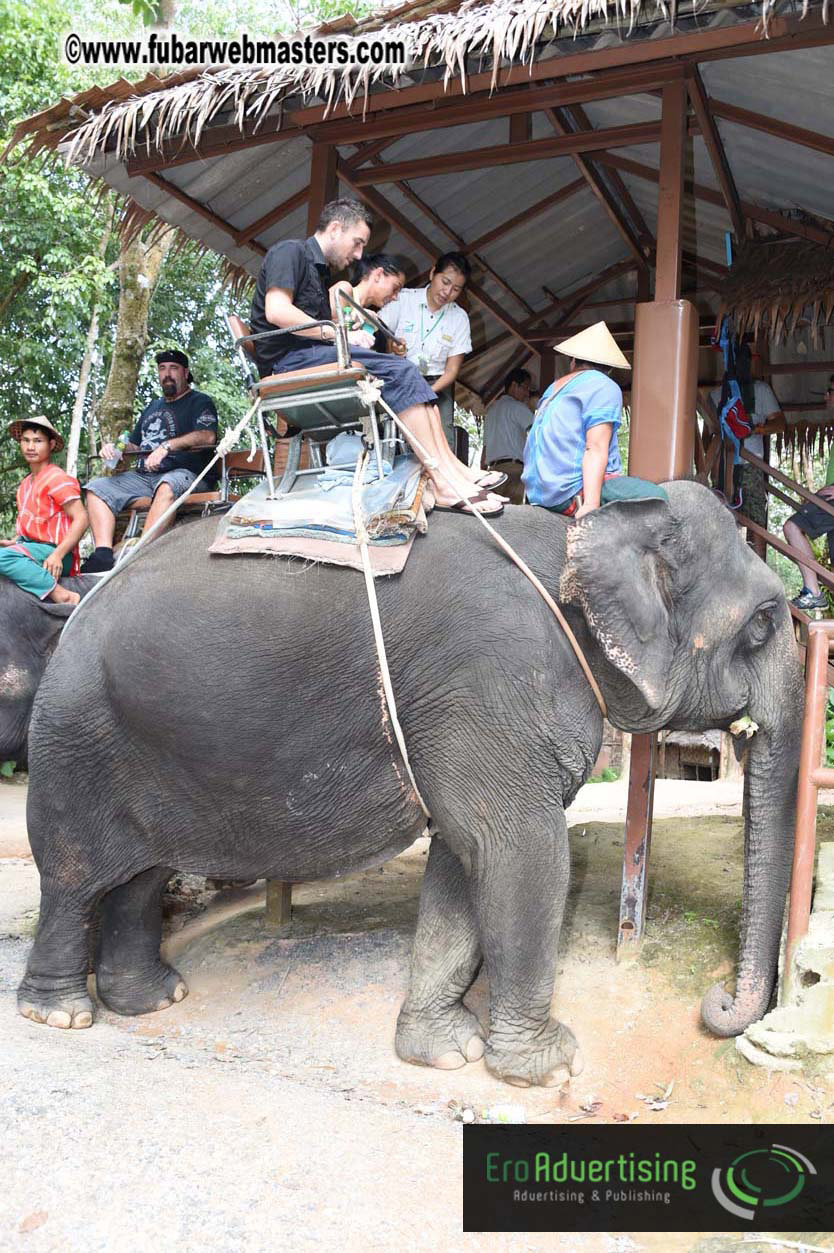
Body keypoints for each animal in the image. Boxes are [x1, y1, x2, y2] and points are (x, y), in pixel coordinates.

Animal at [17, 481, 803, 1087]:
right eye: (765, 623)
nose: (715, 1004)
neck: (584, 532)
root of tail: (75, 608)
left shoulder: (466, 717)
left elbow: (464, 858)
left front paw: (443, 1053)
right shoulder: (489, 683)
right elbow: (523, 853)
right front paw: (547, 1069)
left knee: (139, 875)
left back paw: (153, 1000)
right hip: (72, 737)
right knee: (75, 876)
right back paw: (60, 1014)